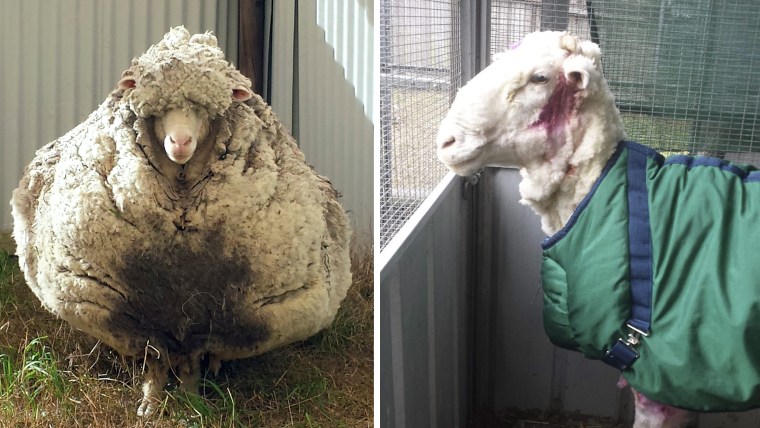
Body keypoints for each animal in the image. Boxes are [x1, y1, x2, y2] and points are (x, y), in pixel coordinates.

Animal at [9, 25, 354, 416]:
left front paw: (192, 405)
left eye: (203, 111)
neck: (182, 198)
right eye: (159, 112)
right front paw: (150, 405)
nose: (180, 142)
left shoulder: (211, 323)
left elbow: (193, 363)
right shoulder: (140, 317)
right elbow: (156, 361)